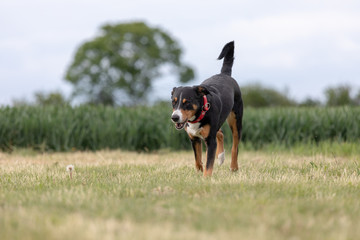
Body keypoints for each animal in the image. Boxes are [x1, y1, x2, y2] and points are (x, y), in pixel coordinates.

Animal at [170, 41, 243, 176]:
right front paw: (199, 174)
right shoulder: (194, 139)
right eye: (174, 102)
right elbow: (198, 160)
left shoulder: (210, 141)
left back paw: (233, 166)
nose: (175, 117)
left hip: (236, 120)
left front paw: (206, 178)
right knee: (220, 133)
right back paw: (220, 157)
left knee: (235, 147)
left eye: (187, 102)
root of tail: (224, 74)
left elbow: (209, 164)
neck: (199, 115)